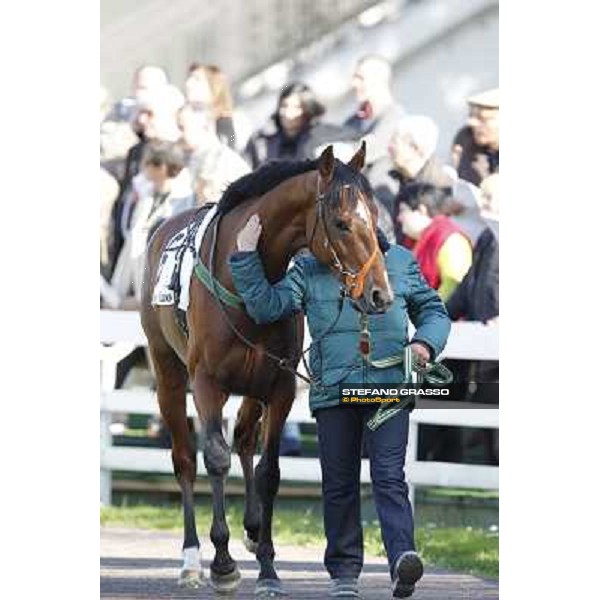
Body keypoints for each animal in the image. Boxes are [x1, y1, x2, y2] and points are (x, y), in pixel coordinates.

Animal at [139, 142, 396, 596]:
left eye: (376, 214)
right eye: (341, 223)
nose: (379, 294)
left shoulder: (278, 387)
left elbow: (269, 471)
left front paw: (268, 568)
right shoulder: (207, 385)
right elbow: (216, 458)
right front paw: (222, 563)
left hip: (252, 387)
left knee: (244, 439)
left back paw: (253, 528)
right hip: (168, 371)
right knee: (185, 458)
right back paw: (191, 560)